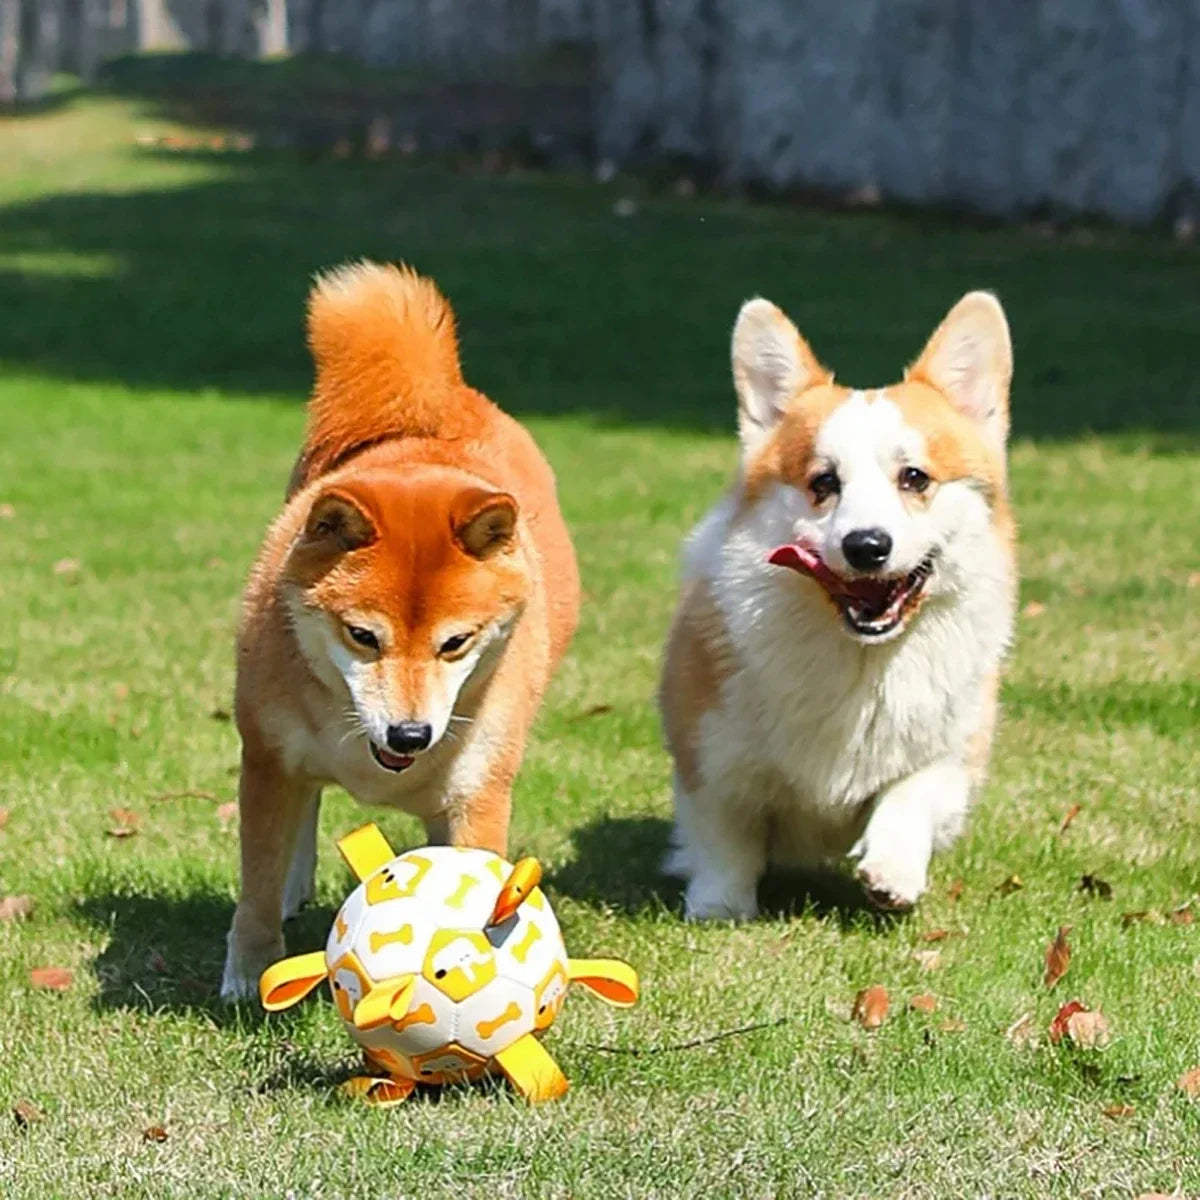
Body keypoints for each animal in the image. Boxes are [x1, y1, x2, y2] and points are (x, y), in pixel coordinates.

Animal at [225, 265, 585, 1003]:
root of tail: (438, 401)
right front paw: (249, 973)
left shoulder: (479, 791)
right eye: (363, 636)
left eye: (456, 643)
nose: (411, 735)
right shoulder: (268, 757)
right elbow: (258, 879)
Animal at [662, 290, 1017, 916]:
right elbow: (726, 833)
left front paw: (892, 870)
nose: (867, 546)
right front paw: (720, 907)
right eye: (823, 483)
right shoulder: (708, 752)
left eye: (915, 478)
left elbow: (912, 792)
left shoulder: (954, 752)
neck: (861, 658)